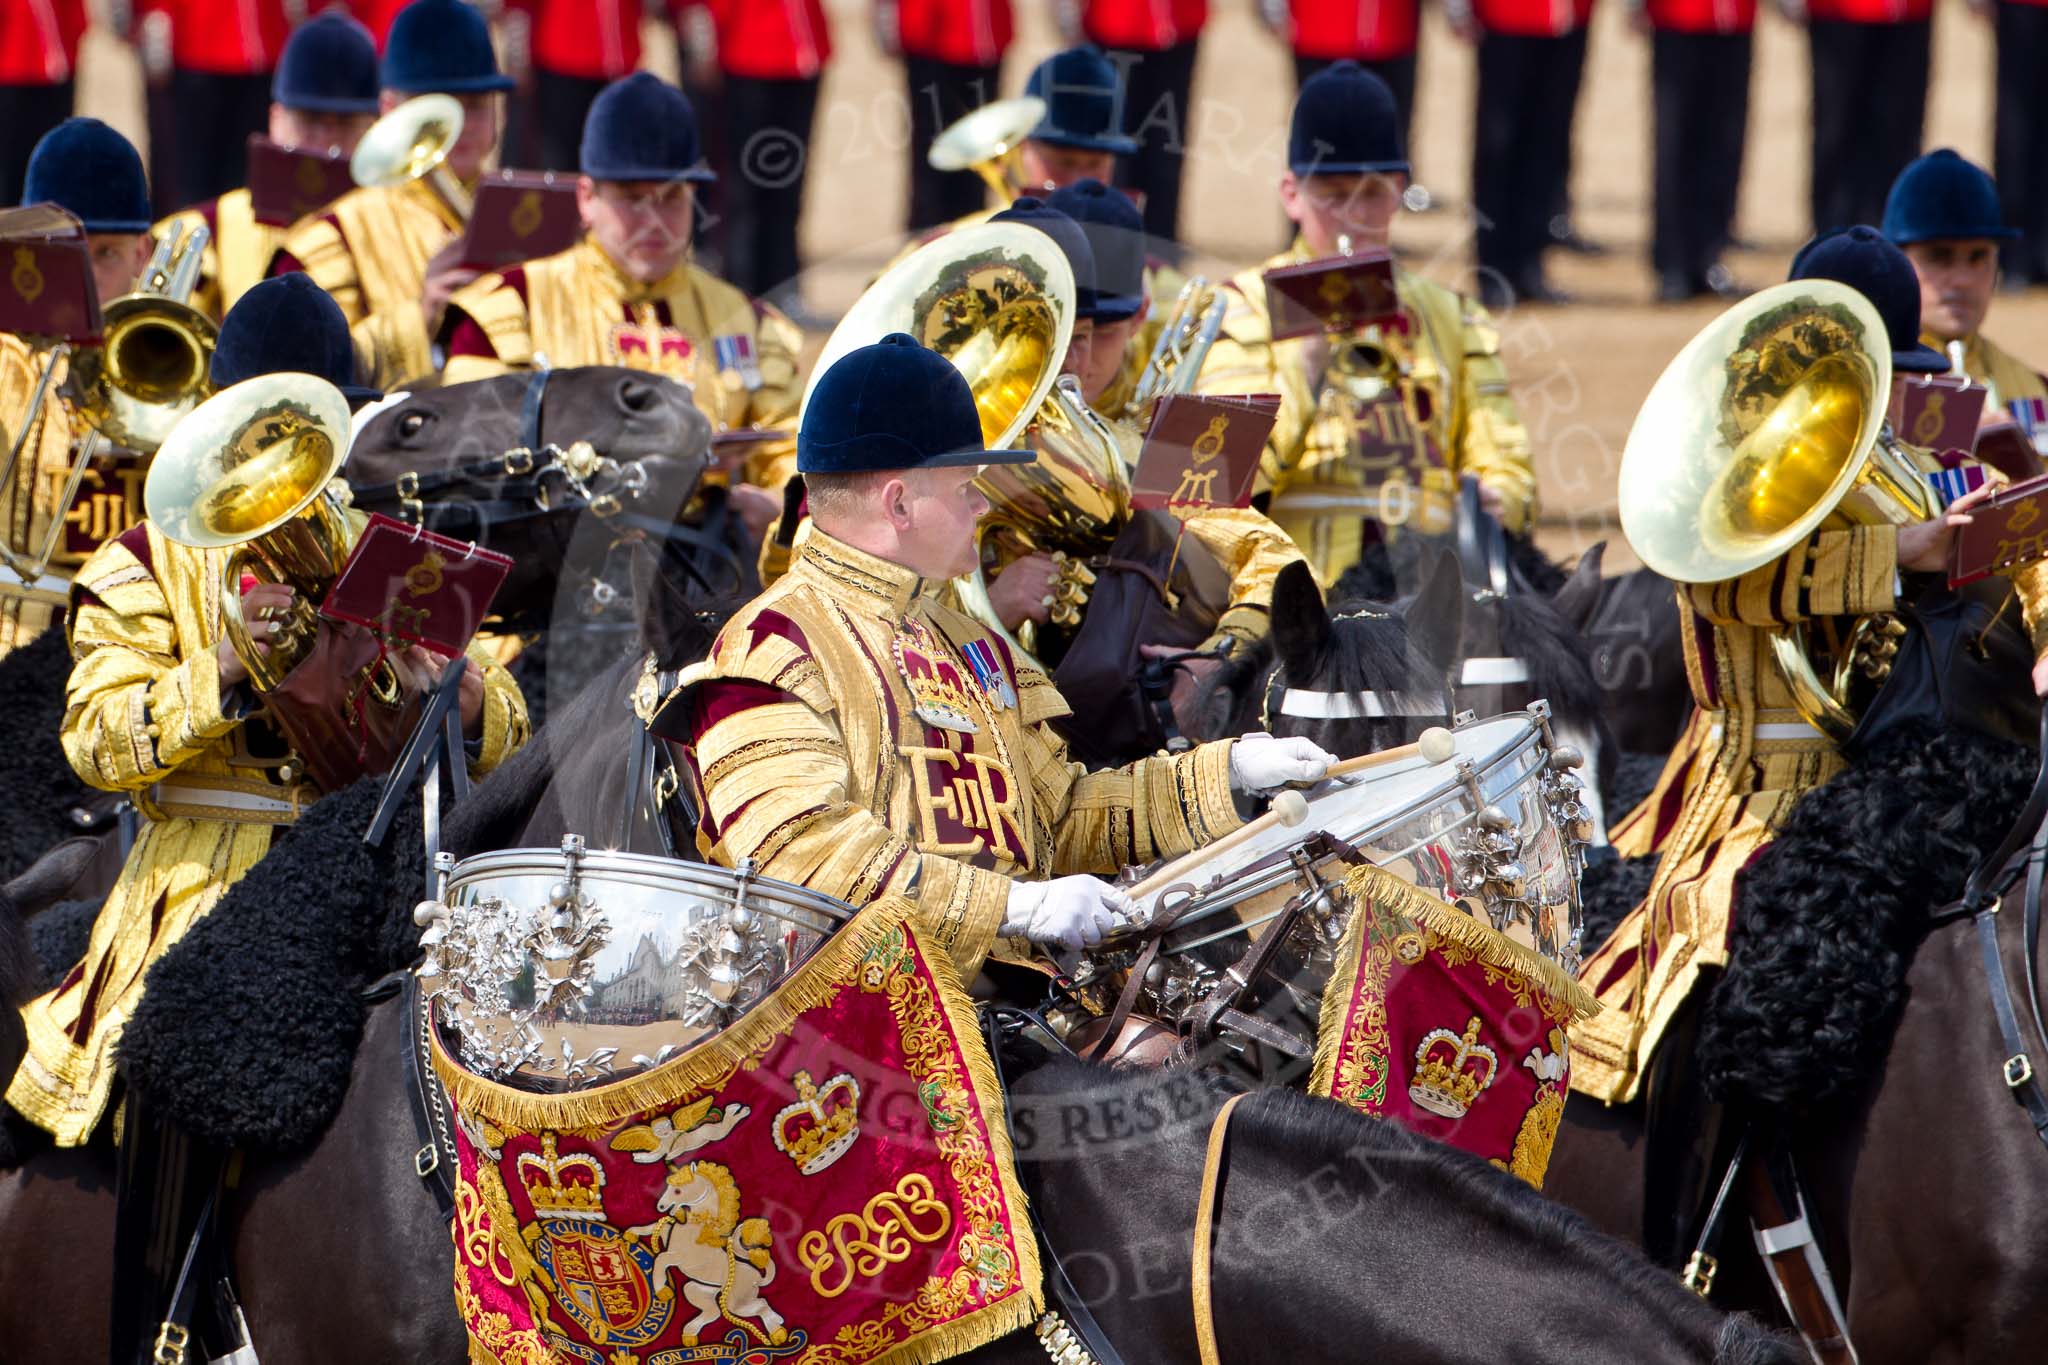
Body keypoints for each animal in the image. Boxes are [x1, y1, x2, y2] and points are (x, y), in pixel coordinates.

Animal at [622, 1162, 782, 1342]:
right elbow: (658, 1227)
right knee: (714, 1312)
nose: (660, 1206)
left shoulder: (679, 1257)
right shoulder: (670, 1242)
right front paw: (632, 1233)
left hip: (736, 1302)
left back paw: (778, 1333)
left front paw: (663, 1291)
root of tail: (758, 1278)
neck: (696, 1231)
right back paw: (689, 1334)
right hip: (696, 1289)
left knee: (761, 1305)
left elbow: (660, 1259)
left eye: (678, 1191)